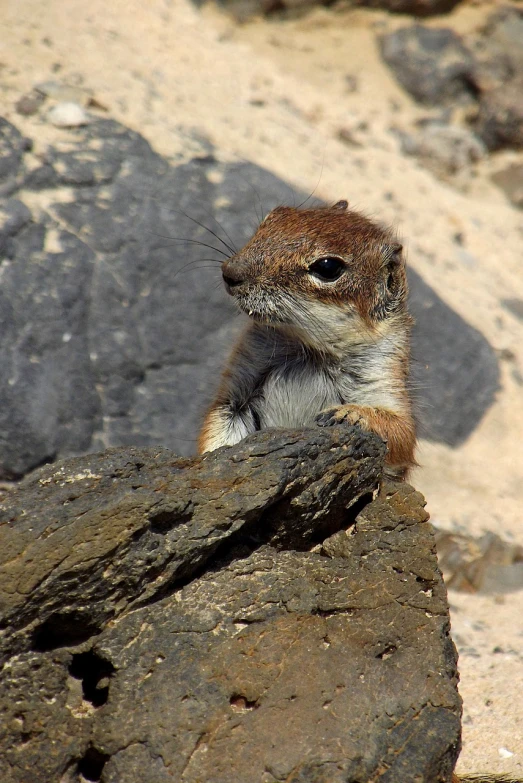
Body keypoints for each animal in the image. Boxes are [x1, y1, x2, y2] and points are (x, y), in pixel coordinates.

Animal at [200, 199, 418, 478]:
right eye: (274, 216)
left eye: (327, 267)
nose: (230, 272)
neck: (309, 349)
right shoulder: (237, 388)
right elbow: (218, 424)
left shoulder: (384, 375)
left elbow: (402, 433)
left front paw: (351, 415)